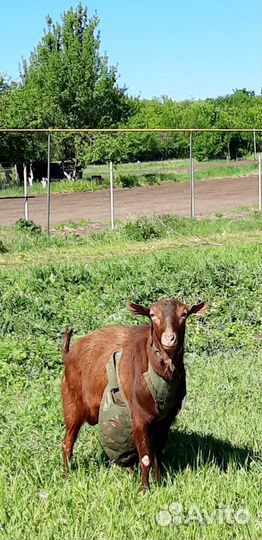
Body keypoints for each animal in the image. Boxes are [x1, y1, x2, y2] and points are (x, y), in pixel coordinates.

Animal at [61, 298, 207, 492]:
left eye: (184, 314)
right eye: (152, 314)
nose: (169, 339)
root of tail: (69, 354)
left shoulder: (166, 418)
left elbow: (158, 453)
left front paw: (159, 482)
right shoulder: (138, 416)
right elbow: (146, 457)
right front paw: (145, 490)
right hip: (72, 403)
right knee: (67, 443)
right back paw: (66, 476)